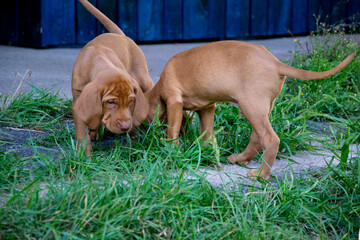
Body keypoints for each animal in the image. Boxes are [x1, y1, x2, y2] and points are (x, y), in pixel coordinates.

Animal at [71, 0, 153, 157]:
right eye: (110, 102)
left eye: (131, 101)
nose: (125, 126)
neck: (98, 60)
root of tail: (120, 35)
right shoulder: (78, 99)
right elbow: (81, 132)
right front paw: (83, 157)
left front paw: (134, 147)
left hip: (144, 79)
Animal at [142, 40, 356, 180]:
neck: (160, 84)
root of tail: (276, 63)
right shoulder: (208, 107)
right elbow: (207, 134)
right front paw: (203, 152)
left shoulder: (174, 101)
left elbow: (172, 130)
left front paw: (172, 150)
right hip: (261, 108)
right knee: (257, 137)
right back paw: (240, 159)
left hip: (250, 106)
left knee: (270, 139)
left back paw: (261, 175)